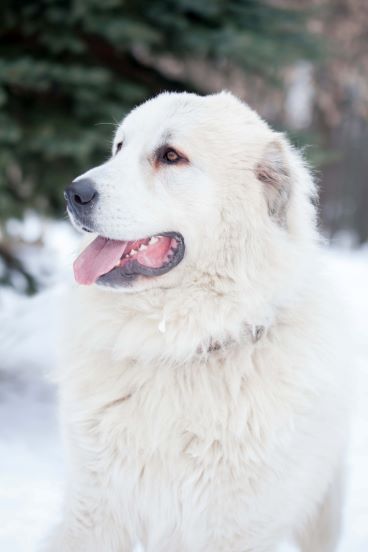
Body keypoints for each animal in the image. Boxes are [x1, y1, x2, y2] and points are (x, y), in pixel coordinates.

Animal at [43, 91, 350, 552]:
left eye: (171, 156)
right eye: (119, 148)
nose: (72, 192)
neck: (178, 348)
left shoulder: (231, 530)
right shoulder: (94, 512)